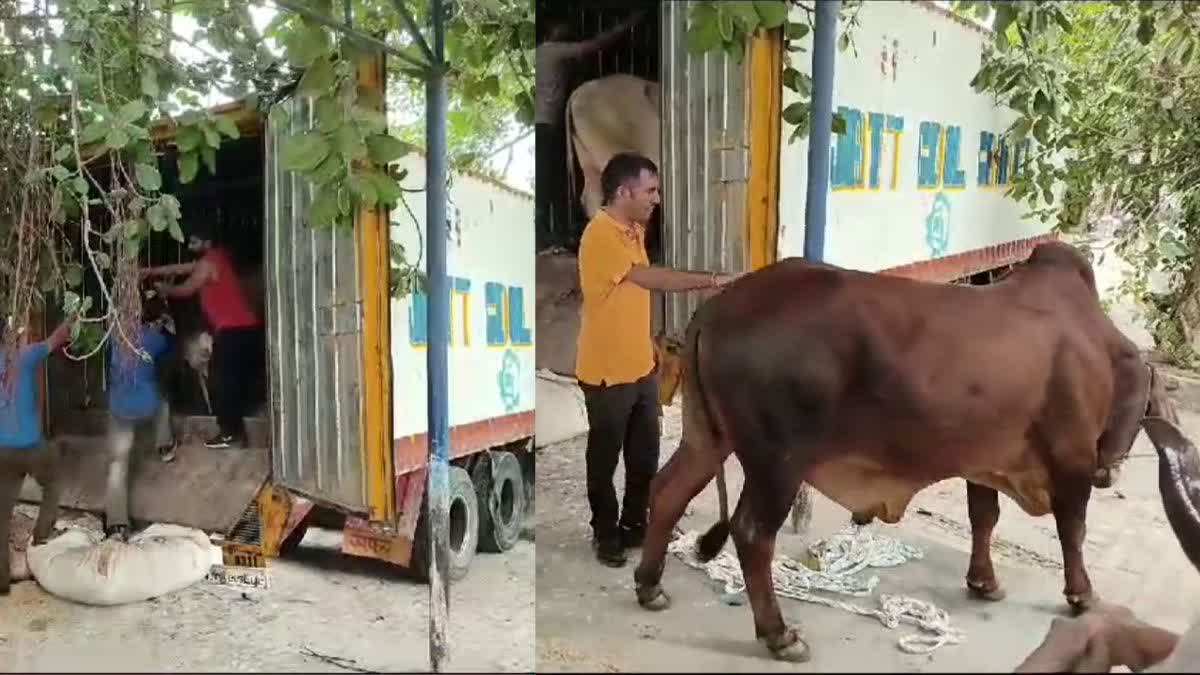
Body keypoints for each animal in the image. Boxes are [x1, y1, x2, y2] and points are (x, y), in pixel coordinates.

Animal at [638, 239, 1152, 658]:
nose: (1112, 472)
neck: (1097, 348)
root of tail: (722, 305)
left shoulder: (982, 461)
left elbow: (984, 518)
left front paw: (983, 581)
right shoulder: (1073, 457)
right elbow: (1073, 530)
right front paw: (1082, 594)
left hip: (708, 436)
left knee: (667, 490)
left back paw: (649, 585)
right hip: (777, 462)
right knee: (751, 532)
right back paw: (780, 635)